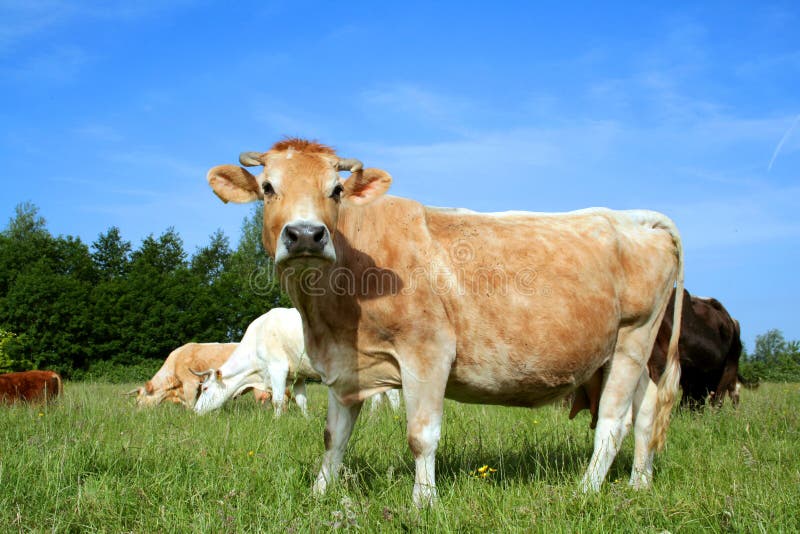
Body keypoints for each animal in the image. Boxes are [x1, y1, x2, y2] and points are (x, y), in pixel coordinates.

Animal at [206, 138, 684, 507]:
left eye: (336, 190)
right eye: (268, 187)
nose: (306, 234)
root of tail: (633, 216)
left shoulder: (427, 352)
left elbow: (422, 435)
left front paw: (424, 503)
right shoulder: (344, 367)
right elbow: (333, 438)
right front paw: (319, 494)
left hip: (633, 337)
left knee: (613, 423)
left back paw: (584, 491)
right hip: (627, 354)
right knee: (646, 412)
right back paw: (640, 484)